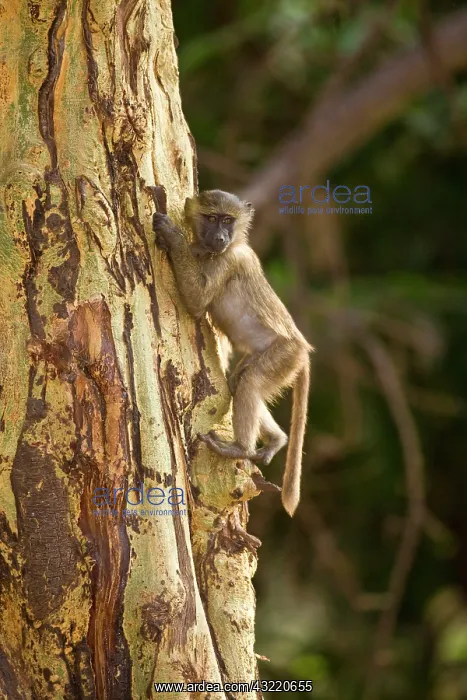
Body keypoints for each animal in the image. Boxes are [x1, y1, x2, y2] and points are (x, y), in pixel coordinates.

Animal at [153, 190, 311, 516]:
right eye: (212, 218)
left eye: (228, 220)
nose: (220, 237)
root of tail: (303, 347)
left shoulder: (230, 260)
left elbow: (198, 302)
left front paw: (173, 235)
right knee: (241, 383)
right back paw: (276, 440)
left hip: (284, 356)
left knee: (249, 384)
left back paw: (240, 448)